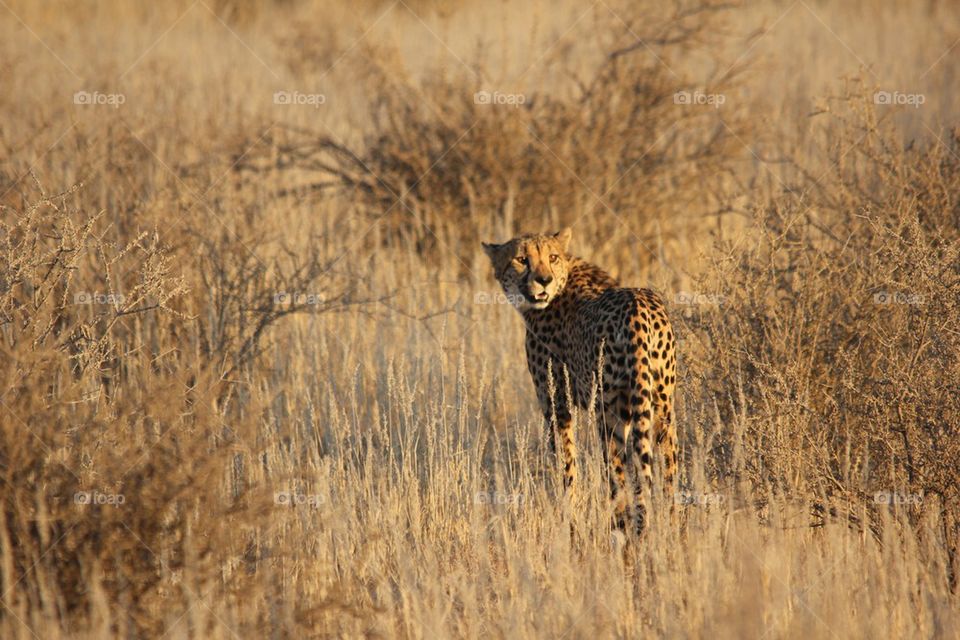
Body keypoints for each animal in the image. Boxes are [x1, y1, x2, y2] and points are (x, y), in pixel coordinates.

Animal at [482, 228, 678, 531]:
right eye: (522, 259)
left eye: (551, 257)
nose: (544, 280)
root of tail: (638, 303)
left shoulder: (556, 404)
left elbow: (566, 463)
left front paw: (567, 516)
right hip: (663, 406)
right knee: (668, 476)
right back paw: (672, 529)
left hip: (610, 412)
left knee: (619, 479)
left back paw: (623, 526)